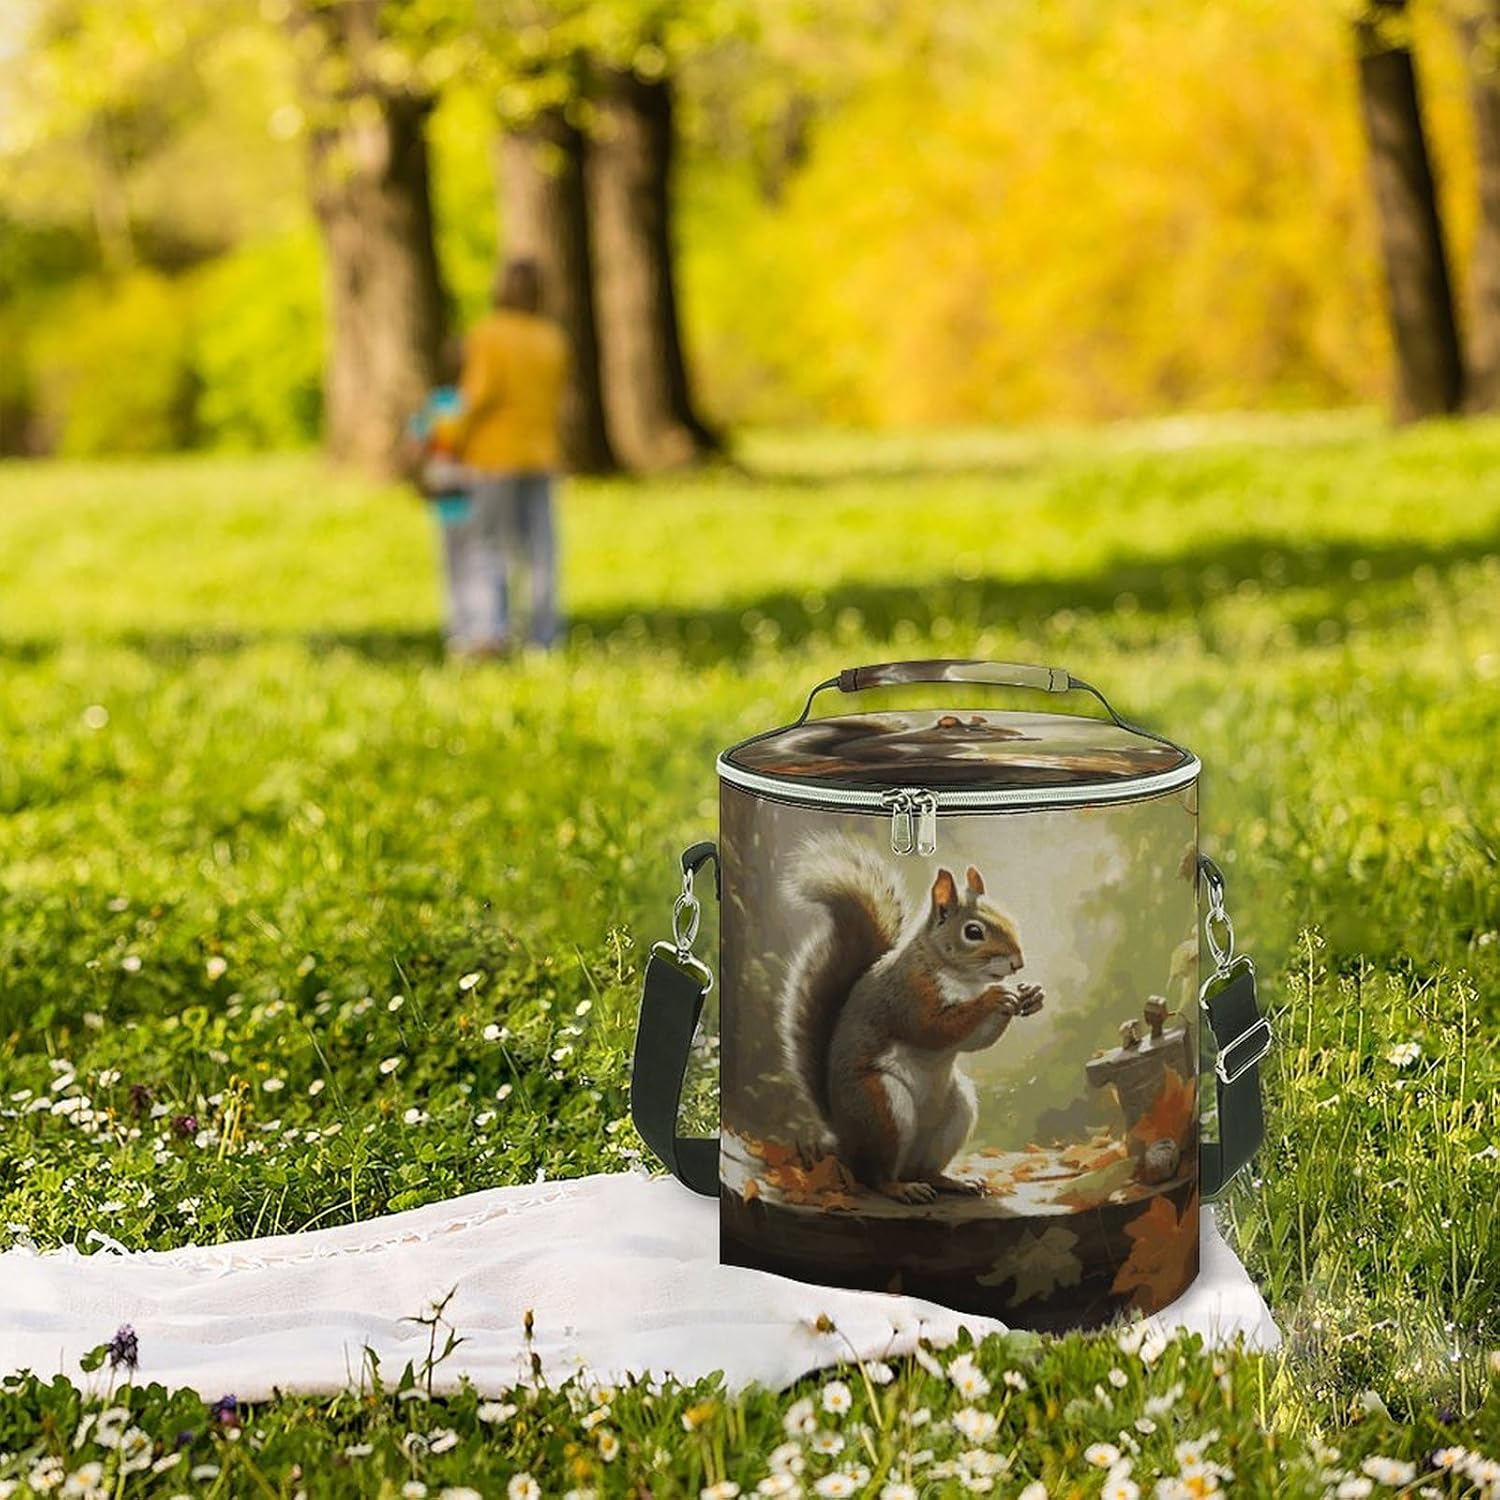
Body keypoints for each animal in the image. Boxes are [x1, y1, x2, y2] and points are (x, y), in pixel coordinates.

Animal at [780, 837, 1044, 1204]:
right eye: (973, 932)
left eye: (1009, 917)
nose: (1018, 963)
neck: (961, 979)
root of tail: (845, 1139)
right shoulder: (909, 996)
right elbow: (934, 1029)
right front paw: (994, 998)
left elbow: (976, 1040)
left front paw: (1030, 995)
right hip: (882, 1106)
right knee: (875, 1176)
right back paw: (901, 1188)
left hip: (957, 1110)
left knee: (925, 1169)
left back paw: (954, 1181)